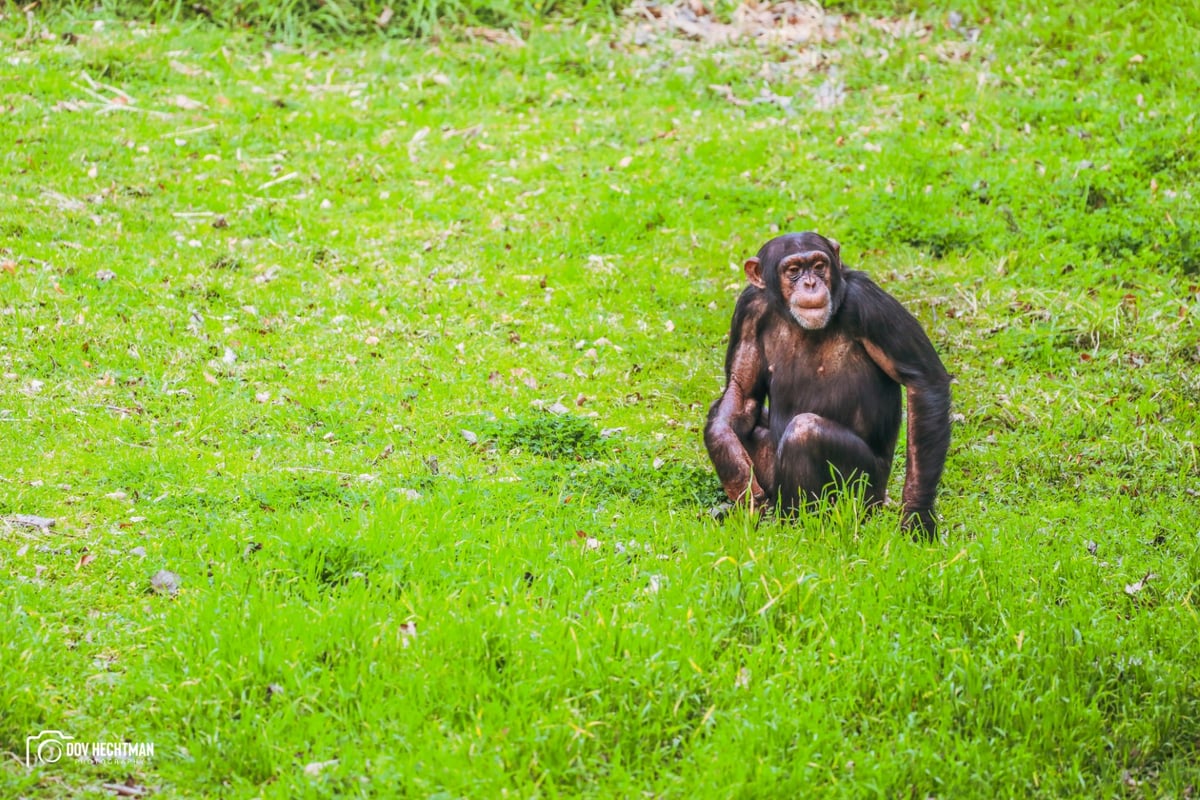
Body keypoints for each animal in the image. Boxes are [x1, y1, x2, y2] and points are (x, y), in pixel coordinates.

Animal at [700, 230, 945, 537]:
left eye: (819, 266)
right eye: (793, 270)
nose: (810, 283)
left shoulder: (869, 303)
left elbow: (923, 380)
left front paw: (917, 516)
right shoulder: (748, 310)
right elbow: (742, 391)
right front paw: (733, 467)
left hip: (865, 494)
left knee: (805, 433)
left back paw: (799, 526)